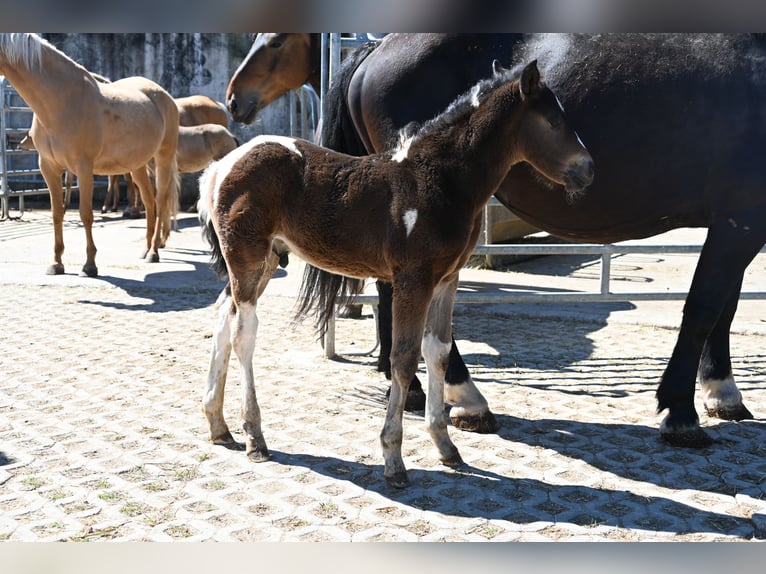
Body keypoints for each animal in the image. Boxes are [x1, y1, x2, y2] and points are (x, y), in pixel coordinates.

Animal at [0, 33, 179, 276]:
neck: (60, 101)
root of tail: (165, 96)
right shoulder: (48, 167)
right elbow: (57, 213)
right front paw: (56, 263)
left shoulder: (83, 168)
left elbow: (86, 214)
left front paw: (90, 265)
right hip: (137, 165)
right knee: (148, 200)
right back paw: (145, 249)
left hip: (163, 157)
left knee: (160, 200)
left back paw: (153, 252)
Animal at [198, 60, 594, 486]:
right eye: (552, 120)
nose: (588, 169)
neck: (438, 180)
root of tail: (221, 166)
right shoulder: (412, 280)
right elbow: (402, 360)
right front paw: (393, 459)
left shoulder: (446, 280)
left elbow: (437, 352)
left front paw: (446, 446)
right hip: (248, 258)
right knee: (243, 335)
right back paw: (255, 437)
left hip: (265, 261)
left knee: (223, 315)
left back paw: (218, 425)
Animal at [310, 33, 766, 449]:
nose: (588, 168)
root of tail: (378, 49)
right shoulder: (742, 217)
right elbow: (703, 309)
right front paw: (682, 413)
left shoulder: (737, 222)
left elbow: (725, 307)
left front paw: (722, 391)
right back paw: (467, 398)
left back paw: (415, 392)